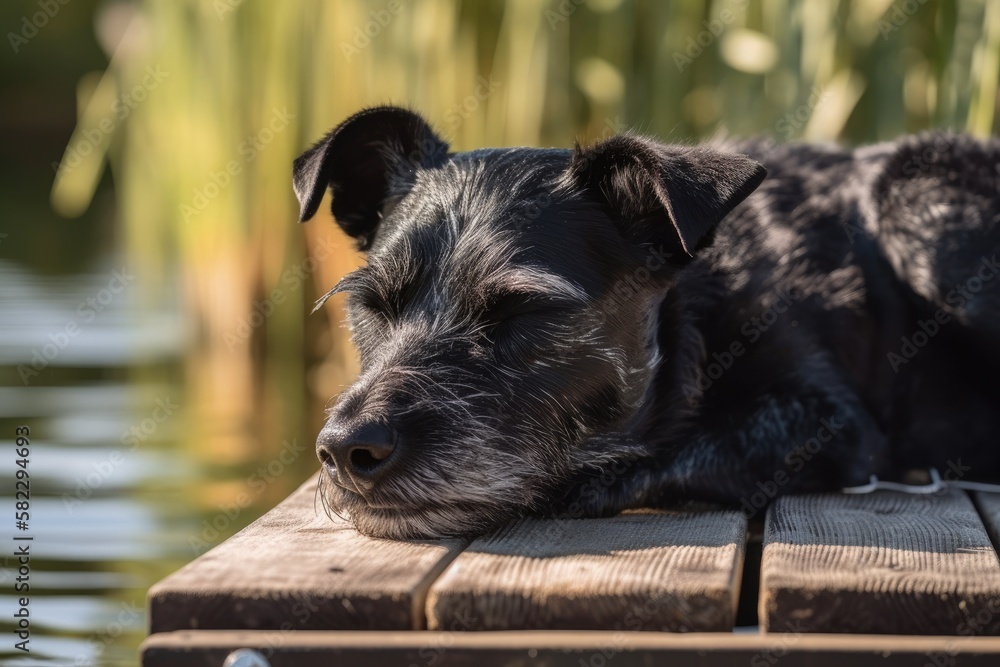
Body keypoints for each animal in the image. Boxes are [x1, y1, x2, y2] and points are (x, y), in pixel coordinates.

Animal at [292, 105, 1000, 544]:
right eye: (372, 306)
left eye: (524, 310)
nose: (347, 449)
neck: (695, 316)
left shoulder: (832, 420)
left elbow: (672, 450)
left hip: (915, 200)